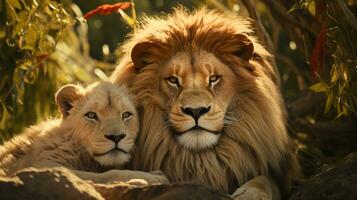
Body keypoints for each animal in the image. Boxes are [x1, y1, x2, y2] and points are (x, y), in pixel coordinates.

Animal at [0, 81, 167, 184]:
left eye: (126, 115)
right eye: (91, 115)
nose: (116, 137)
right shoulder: (43, 166)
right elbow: (105, 175)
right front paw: (152, 177)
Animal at [111, 7, 298, 199]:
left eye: (213, 78)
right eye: (173, 80)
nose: (196, 111)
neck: (200, 161)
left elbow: (264, 181)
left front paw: (250, 194)